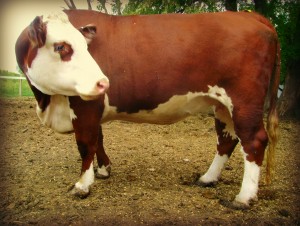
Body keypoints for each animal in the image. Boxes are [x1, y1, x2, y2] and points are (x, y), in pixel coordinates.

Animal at [15, 9, 280, 209]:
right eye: (60, 47)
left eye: (85, 46)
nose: (103, 82)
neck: (48, 101)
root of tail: (249, 15)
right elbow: (99, 139)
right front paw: (104, 170)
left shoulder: (86, 105)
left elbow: (86, 144)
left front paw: (83, 185)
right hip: (223, 106)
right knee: (227, 140)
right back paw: (207, 178)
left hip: (244, 101)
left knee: (253, 141)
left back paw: (244, 198)